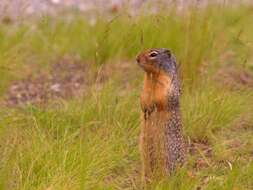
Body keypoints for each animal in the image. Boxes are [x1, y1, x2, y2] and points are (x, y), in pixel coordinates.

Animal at [136, 48, 186, 182]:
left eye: (153, 54)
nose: (137, 58)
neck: (152, 76)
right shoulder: (145, 87)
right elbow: (143, 97)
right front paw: (146, 108)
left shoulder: (167, 85)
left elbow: (162, 98)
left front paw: (152, 106)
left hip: (166, 159)